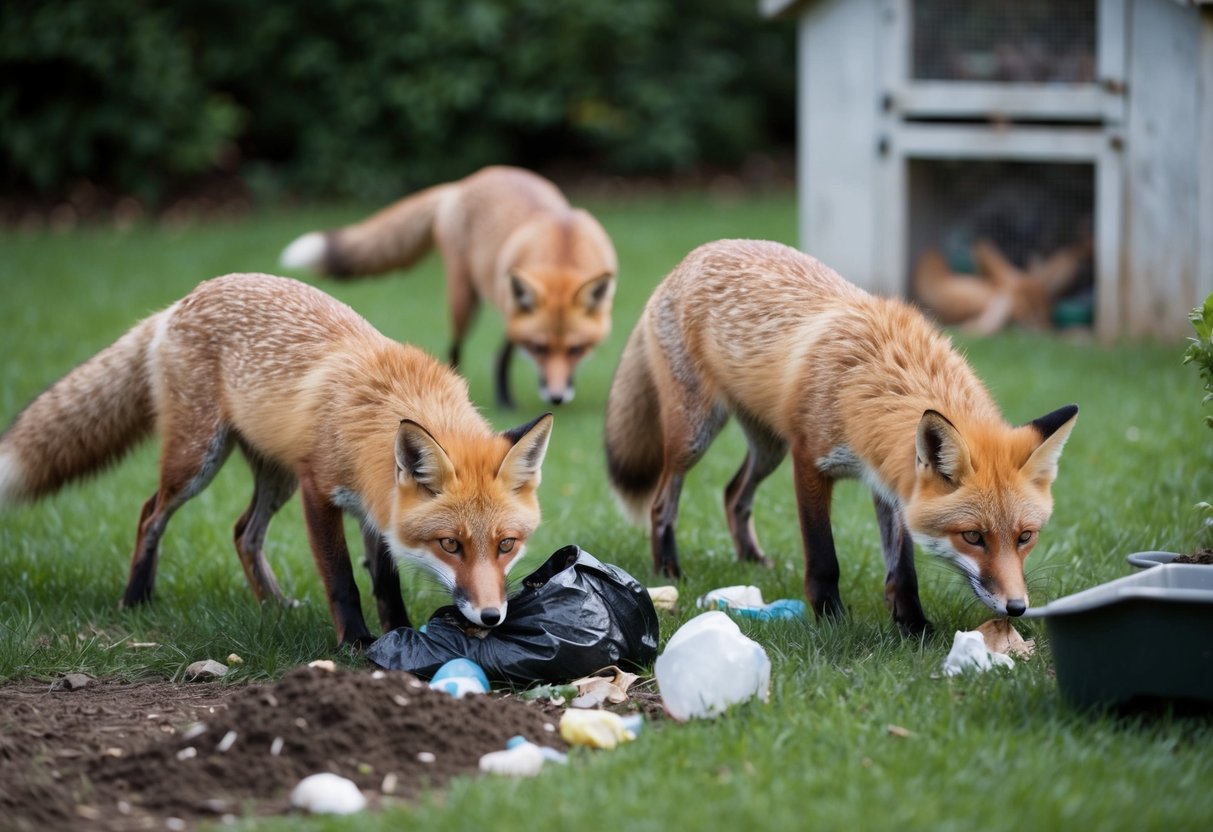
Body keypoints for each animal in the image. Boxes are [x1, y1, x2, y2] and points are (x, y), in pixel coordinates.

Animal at [0, 273, 553, 647]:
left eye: (506, 545)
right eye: (450, 545)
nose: (491, 617)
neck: (383, 405)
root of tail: (182, 300)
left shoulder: (375, 505)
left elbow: (386, 582)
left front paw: (398, 634)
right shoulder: (319, 490)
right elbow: (343, 579)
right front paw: (356, 643)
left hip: (274, 474)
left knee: (243, 532)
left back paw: (274, 605)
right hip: (199, 461)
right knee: (149, 513)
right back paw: (136, 597)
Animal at [279, 165, 618, 409]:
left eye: (576, 349)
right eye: (539, 348)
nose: (556, 398)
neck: (563, 249)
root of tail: (464, 183)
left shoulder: (515, 315)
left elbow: (505, 354)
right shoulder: (513, 313)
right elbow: (506, 354)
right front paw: (506, 401)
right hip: (463, 299)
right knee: (454, 347)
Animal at [604, 239, 1078, 633]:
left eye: (1025, 537)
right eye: (973, 537)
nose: (1017, 607)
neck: (875, 380)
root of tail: (693, 256)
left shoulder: (890, 480)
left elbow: (902, 571)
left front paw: (914, 628)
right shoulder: (810, 461)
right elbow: (823, 558)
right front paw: (832, 621)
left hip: (769, 447)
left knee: (733, 493)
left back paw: (752, 561)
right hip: (696, 436)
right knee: (663, 502)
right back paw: (669, 570)